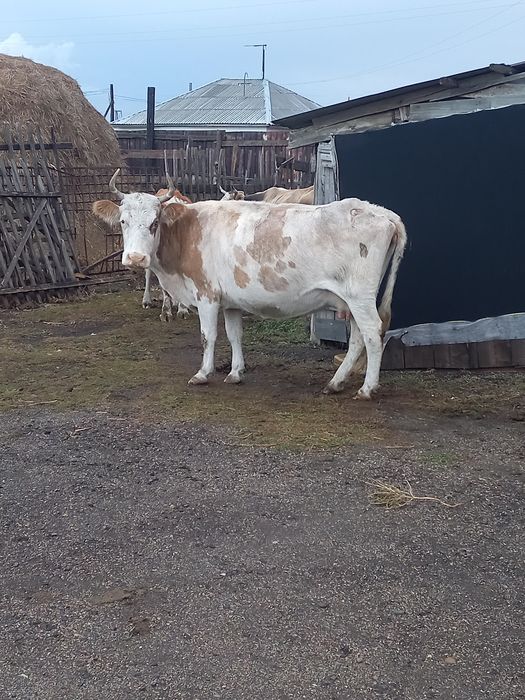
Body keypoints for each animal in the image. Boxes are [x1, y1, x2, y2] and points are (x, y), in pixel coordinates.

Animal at [93, 170, 407, 400]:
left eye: (154, 222)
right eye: (123, 221)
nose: (135, 258)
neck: (187, 232)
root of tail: (382, 212)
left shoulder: (206, 294)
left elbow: (208, 336)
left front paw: (203, 373)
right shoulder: (231, 301)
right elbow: (235, 336)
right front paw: (235, 372)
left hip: (360, 297)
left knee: (372, 334)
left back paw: (367, 388)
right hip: (350, 300)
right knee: (356, 338)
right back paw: (336, 382)